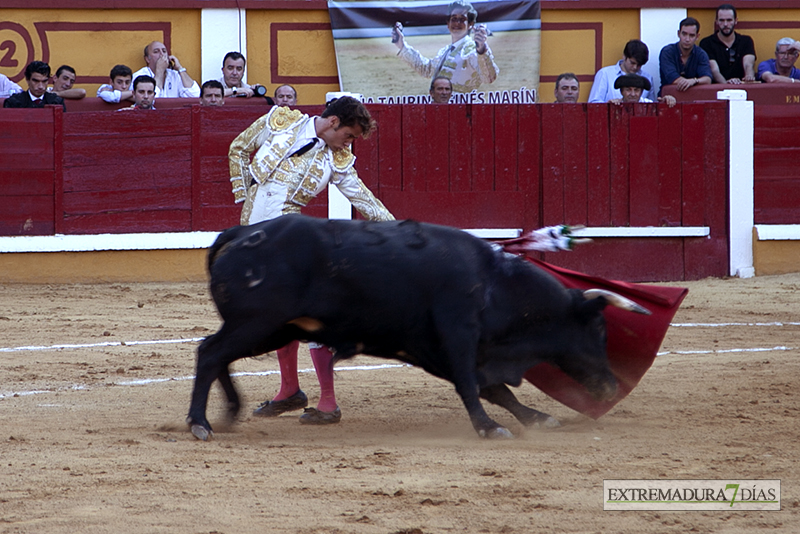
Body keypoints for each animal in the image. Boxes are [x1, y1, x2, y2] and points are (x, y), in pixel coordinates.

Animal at [188, 216, 648, 442]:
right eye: (600, 331)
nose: (611, 386)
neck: (493, 283)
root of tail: (243, 232)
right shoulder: (458, 336)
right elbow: (473, 385)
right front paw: (489, 428)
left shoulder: (433, 349)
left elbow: (494, 388)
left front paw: (537, 418)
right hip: (257, 323)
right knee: (210, 352)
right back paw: (200, 423)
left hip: (273, 328)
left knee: (217, 352)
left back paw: (228, 412)